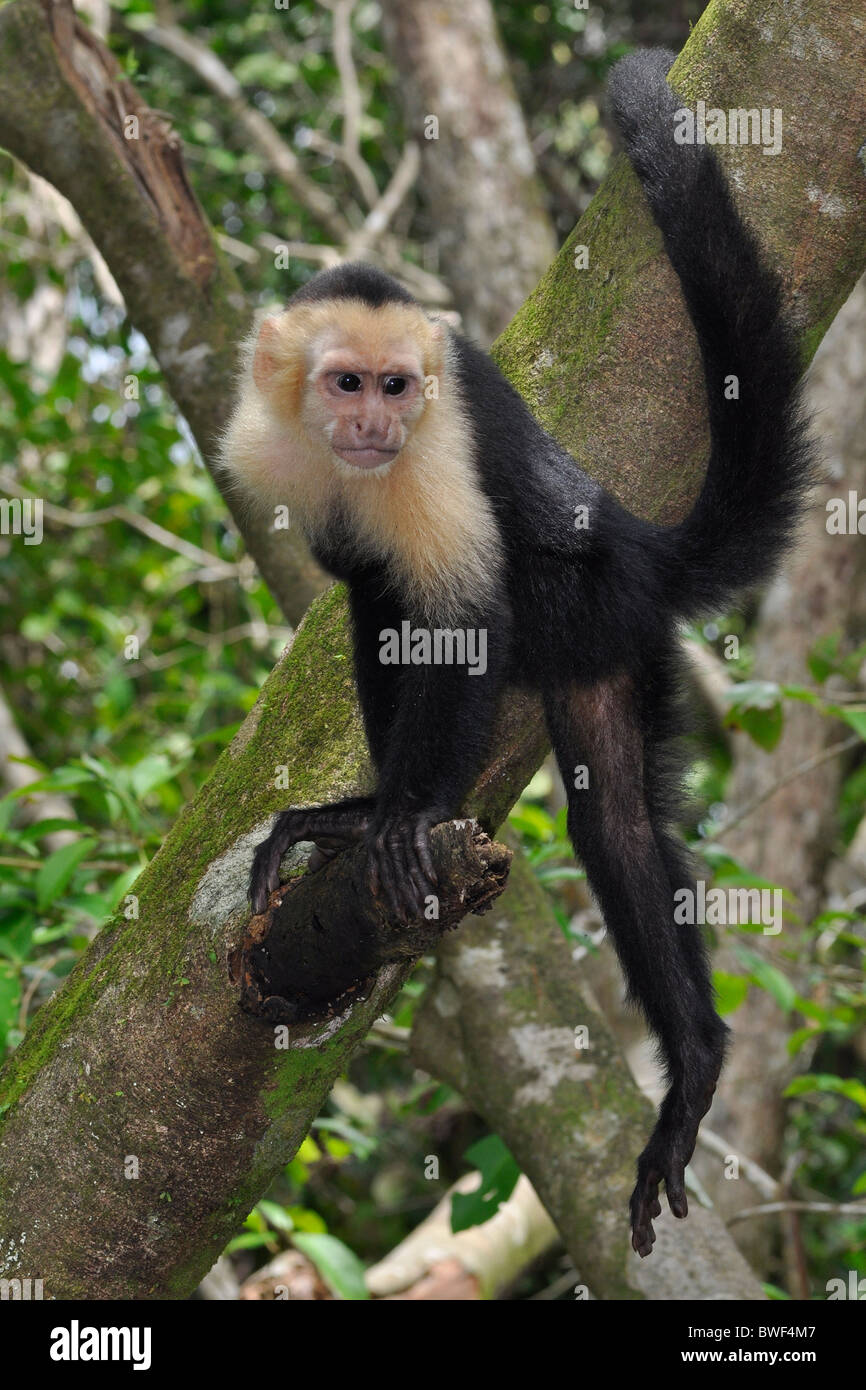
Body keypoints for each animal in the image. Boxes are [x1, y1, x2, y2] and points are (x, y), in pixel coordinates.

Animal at [222, 51, 811, 1262]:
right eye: (345, 382)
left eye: (397, 385)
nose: (374, 426)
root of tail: (637, 545)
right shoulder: (268, 445)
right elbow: (371, 594)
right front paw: (370, 813)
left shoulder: (437, 445)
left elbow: (458, 610)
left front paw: (403, 819)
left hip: (593, 608)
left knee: (598, 793)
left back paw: (689, 1062)